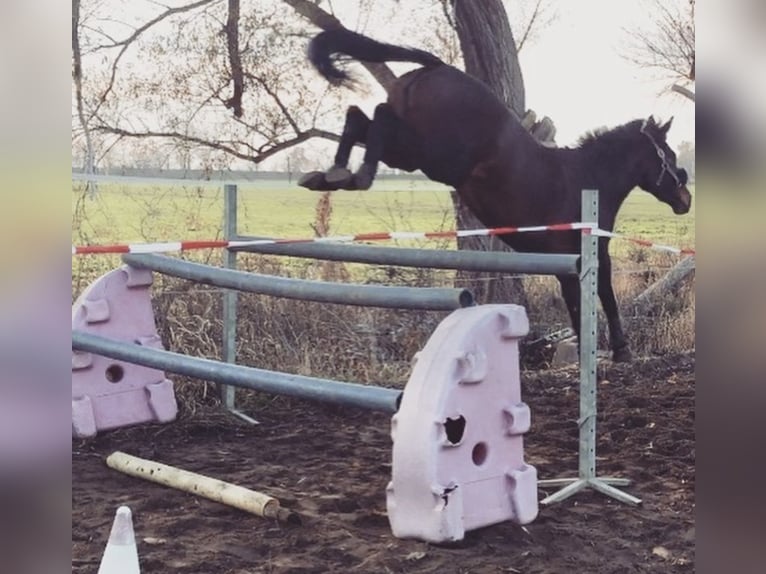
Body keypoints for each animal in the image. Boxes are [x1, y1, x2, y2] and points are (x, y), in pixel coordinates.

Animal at [302, 28, 696, 364]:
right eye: (668, 154)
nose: (685, 199)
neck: (589, 178)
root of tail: (438, 66)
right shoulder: (592, 257)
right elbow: (602, 301)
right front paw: (618, 350)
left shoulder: (568, 267)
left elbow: (581, 307)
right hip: (429, 155)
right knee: (375, 118)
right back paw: (355, 174)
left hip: (412, 153)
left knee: (358, 118)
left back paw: (329, 175)